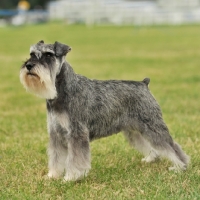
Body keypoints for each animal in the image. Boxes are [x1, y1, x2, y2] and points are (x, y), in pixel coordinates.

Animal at [19, 40, 189, 181]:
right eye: (32, 54)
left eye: (49, 54)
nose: (29, 65)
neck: (62, 90)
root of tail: (144, 84)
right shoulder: (56, 133)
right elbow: (56, 157)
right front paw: (52, 175)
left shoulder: (77, 133)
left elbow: (75, 159)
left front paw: (71, 177)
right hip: (134, 131)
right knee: (151, 146)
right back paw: (151, 158)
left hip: (153, 126)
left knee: (171, 146)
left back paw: (180, 166)